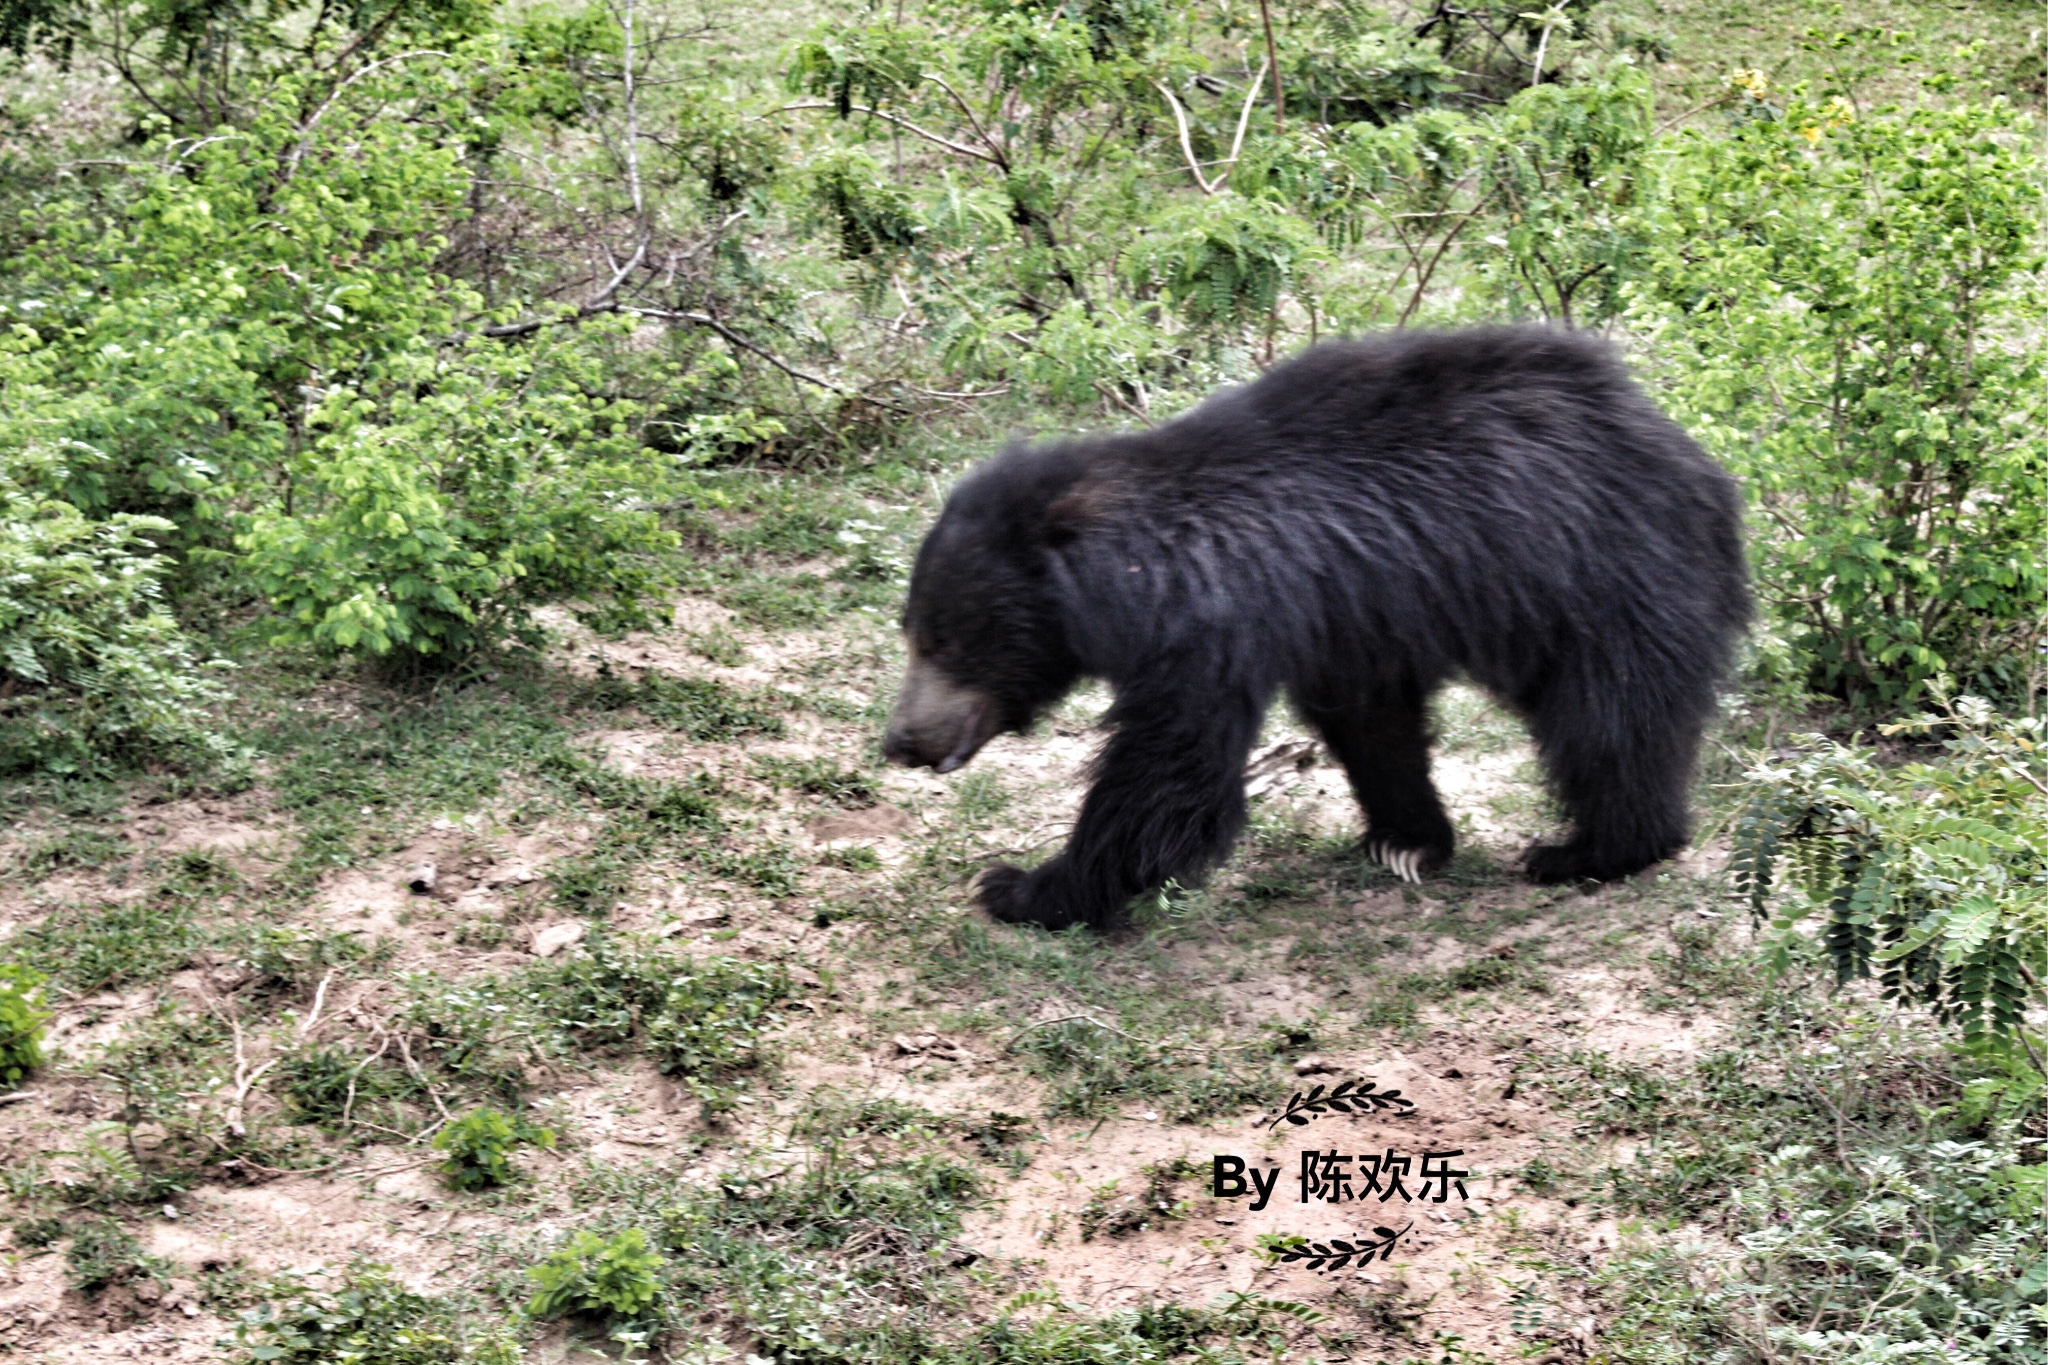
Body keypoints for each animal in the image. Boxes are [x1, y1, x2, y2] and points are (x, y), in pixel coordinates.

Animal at [876, 325, 1744, 933]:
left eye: (948, 644)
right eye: (911, 632)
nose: (903, 742)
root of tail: (1697, 461)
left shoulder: (1209, 626)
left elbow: (1170, 774)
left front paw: (1021, 886)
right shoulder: (1347, 611)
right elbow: (1370, 718)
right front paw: (1407, 837)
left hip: (1604, 579)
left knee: (1612, 721)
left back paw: (1590, 849)